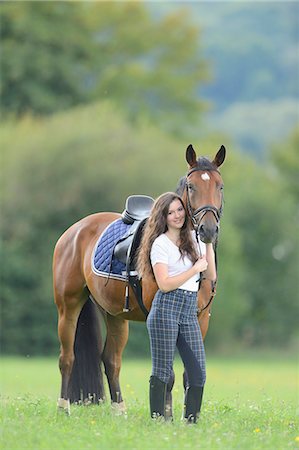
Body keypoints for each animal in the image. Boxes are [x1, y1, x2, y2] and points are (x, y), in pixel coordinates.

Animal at [53, 144, 227, 414]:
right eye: (191, 186)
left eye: (220, 186)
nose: (207, 230)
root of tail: (74, 230)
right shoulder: (161, 317)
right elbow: (168, 373)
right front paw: (164, 416)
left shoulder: (201, 319)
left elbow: (191, 372)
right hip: (68, 306)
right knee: (67, 358)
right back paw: (64, 407)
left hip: (114, 315)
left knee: (111, 360)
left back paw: (119, 410)